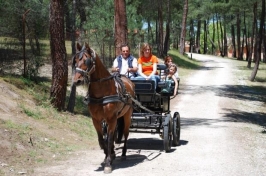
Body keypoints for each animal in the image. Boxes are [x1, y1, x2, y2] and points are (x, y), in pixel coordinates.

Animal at [71, 42, 134, 173]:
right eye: (75, 60)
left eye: (87, 61)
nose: (77, 80)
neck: (102, 91)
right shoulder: (96, 119)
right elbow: (102, 140)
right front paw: (108, 156)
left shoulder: (111, 118)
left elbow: (109, 140)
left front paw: (108, 163)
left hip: (127, 115)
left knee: (126, 134)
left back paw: (123, 154)